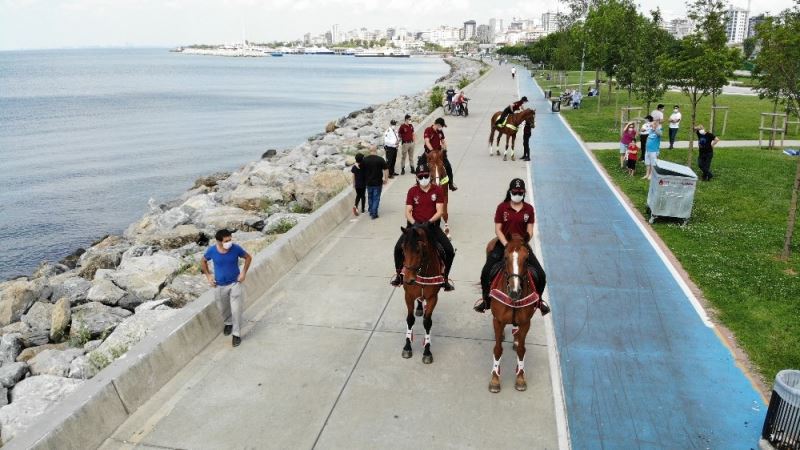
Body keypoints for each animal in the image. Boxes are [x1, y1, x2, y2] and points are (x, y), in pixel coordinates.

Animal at [398, 223, 444, 364]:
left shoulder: (433, 298)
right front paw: (407, 347)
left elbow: (427, 322)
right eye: (402, 248)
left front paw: (427, 351)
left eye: (418, 250)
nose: (408, 279)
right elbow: (410, 319)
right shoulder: (408, 296)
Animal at [482, 234, 544, 392]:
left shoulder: (526, 322)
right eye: (505, 258)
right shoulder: (498, 321)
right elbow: (497, 349)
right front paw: (495, 380)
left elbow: (522, 350)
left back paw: (515, 338)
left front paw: (520, 378)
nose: (514, 291)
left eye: (527, 259)